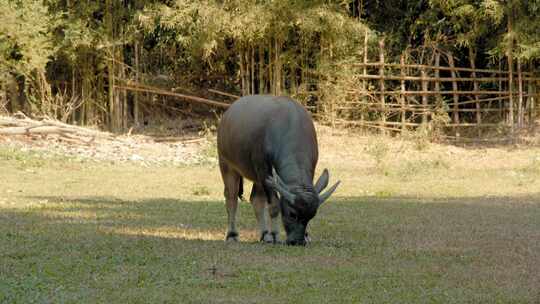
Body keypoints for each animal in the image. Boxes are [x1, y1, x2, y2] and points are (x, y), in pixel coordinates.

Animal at [217, 94, 340, 246]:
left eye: (311, 216)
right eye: (292, 214)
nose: (297, 241)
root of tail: (227, 115)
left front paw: (305, 235)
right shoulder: (264, 171)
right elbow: (274, 205)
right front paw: (275, 234)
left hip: (257, 177)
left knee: (256, 200)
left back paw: (265, 235)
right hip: (227, 165)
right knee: (231, 198)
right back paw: (232, 234)